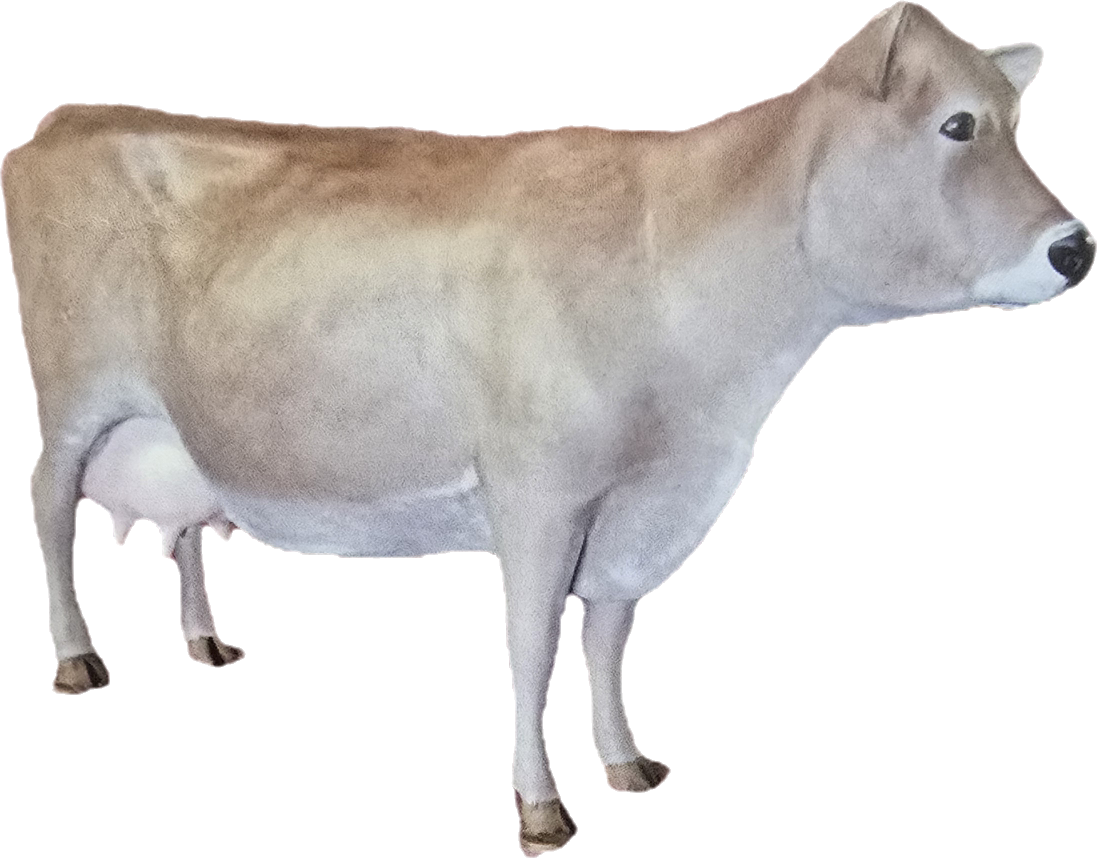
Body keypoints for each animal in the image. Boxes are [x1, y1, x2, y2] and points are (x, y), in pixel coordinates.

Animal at [2, 3, 1092, 855]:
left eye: (1015, 119)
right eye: (957, 124)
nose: (1076, 246)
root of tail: (67, 119)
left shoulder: (641, 507)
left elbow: (608, 637)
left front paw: (627, 761)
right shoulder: (537, 493)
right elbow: (532, 647)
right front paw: (539, 808)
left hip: (178, 428)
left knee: (185, 523)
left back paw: (205, 639)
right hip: (74, 396)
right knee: (47, 499)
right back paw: (76, 658)